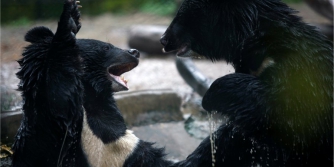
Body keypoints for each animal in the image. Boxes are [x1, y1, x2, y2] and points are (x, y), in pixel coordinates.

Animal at [160, 0, 332, 166]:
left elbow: (289, 106)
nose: (163, 40)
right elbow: (233, 137)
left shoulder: (300, 70)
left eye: (181, 17)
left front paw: (212, 96)